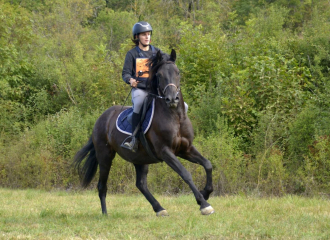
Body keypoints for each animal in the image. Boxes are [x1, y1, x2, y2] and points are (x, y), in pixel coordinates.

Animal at [74, 49, 214, 217]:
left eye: (178, 72)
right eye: (159, 75)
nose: (172, 99)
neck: (175, 117)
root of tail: (101, 119)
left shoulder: (185, 149)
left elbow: (207, 164)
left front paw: (205, 193)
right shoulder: (165, 152)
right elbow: (185, 173)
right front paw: (204, 204)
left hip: (139, 158)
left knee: (141, 184)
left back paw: (159, 209)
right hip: (105, 156)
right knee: (102, 185)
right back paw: (105, 214)